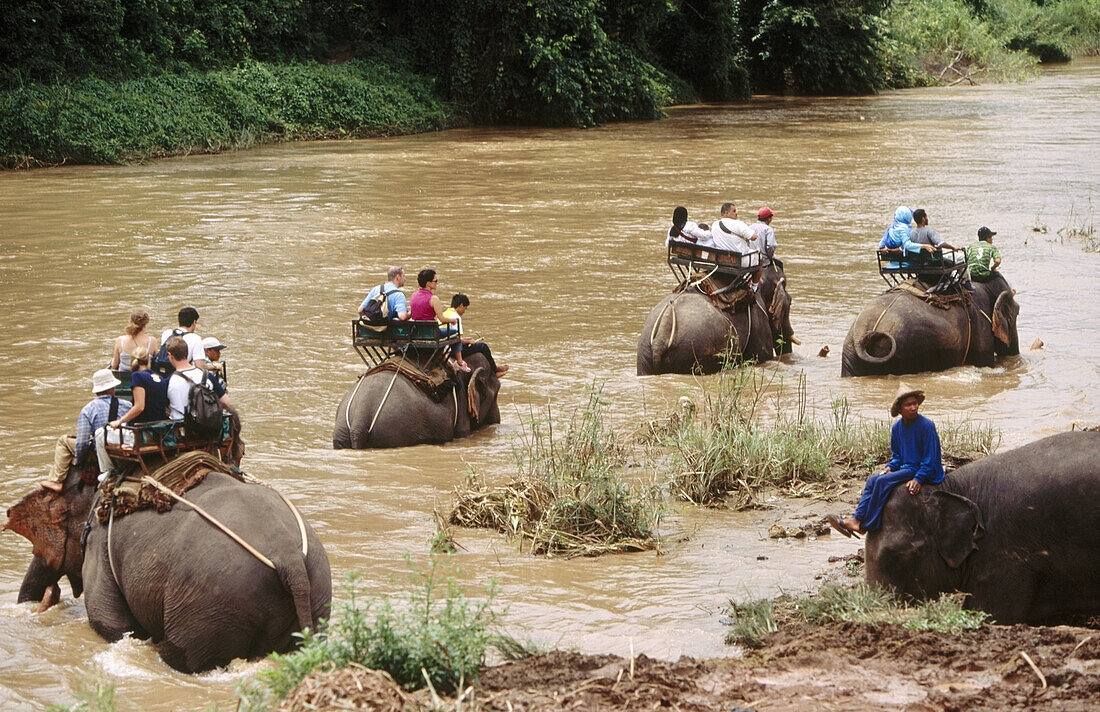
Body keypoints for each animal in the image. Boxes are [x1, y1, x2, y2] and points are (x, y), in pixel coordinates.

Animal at [3, 464, 330, 673]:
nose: (52, 591)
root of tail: (288, 557)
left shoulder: (99, 545)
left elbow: (112, 625)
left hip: (208, 605)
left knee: (182, 656)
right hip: (316, 594)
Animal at [642, 264, 796, 376]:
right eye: (790, 303)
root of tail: (660, 338)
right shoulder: (757, 316)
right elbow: (762, 356)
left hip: (645, 352)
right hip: (694, 351)